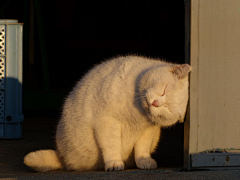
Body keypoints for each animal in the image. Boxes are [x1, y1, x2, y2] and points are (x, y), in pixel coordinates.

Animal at [23, 55, 192, 172]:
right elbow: (112, 145)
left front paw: (144, 161)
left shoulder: (148, 130)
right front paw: (114, 163)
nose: (156, 103)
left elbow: (142, 148)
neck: (138, 114)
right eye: (164, 90)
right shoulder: (108, 122)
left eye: (167, 109)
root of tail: (61, 155)